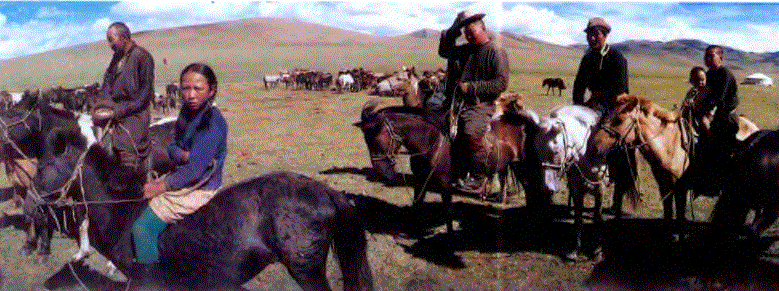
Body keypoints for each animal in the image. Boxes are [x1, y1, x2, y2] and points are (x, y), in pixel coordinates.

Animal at [35, 128, 374, 291]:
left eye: (43, 167)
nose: (32, 202)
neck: (123, 213)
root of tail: (326, 191)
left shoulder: (145, 282)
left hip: (306, 270)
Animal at [588, 94, 760, 222]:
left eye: (619, 120)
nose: (594, 146)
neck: (669, 144)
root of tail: (755, 128)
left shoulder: (680, 189)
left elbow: (680, 217)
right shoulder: (664, 187)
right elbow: (668, 214)